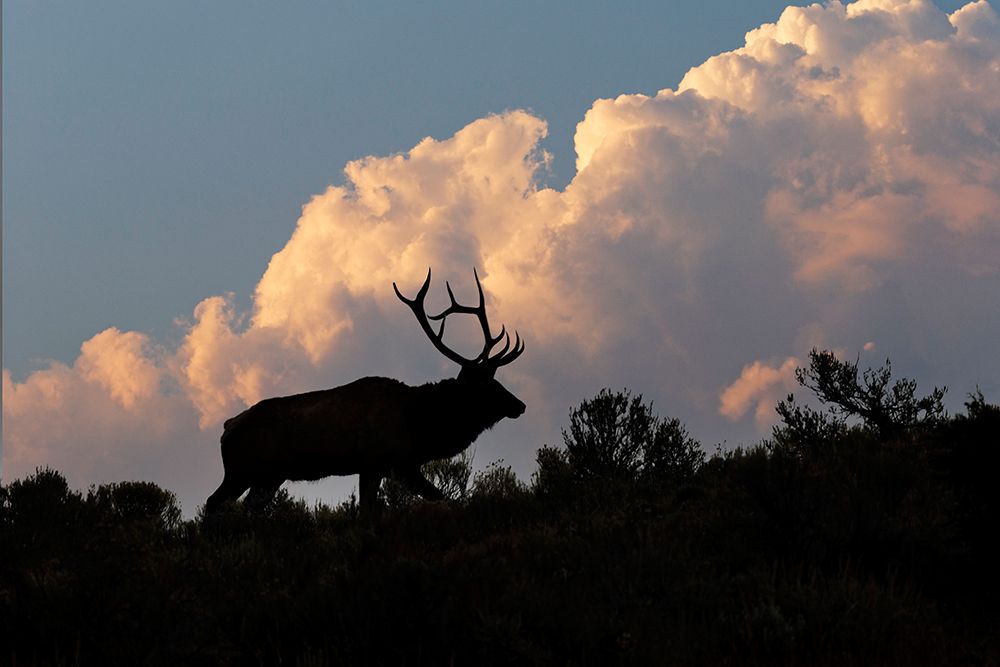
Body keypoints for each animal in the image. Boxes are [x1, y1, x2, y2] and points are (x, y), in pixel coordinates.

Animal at [207, 270, 528, 516]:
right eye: (487, 386)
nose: (520, 405)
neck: (419, 423)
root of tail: (226, 428)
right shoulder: (383, 461)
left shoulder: (392, 466)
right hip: (240, 470)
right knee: (212, 503)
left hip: (269, 476)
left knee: (247, 508)